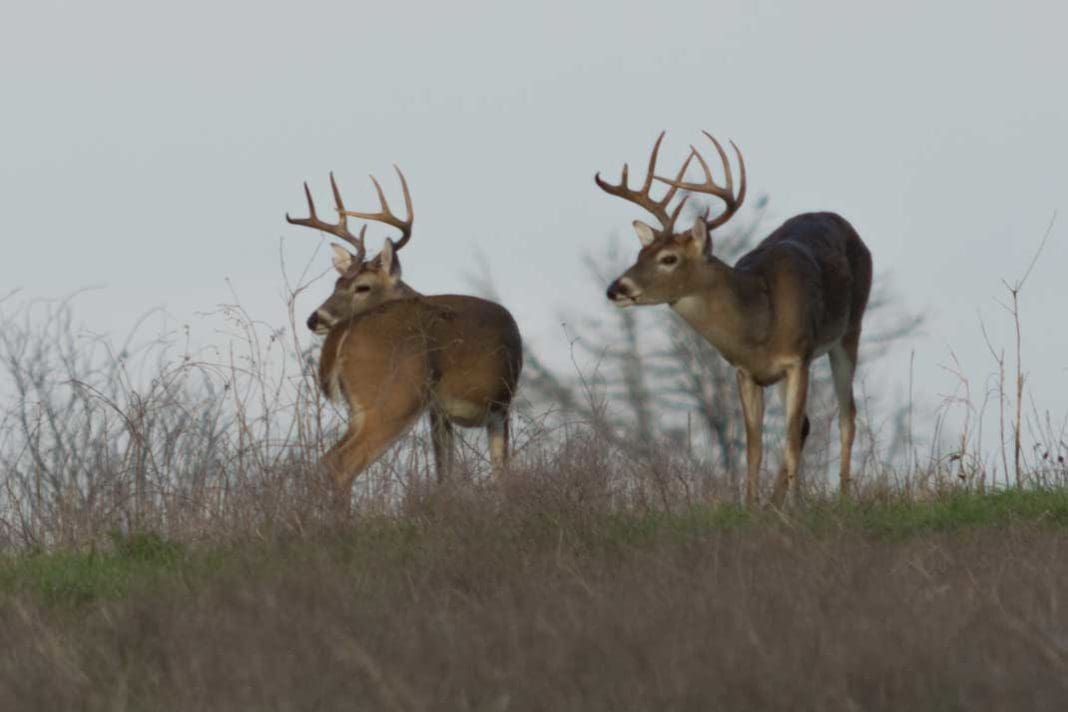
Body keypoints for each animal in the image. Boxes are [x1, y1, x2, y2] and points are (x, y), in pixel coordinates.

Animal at [286, 168, 523, 506]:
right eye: (336, 283)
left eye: (360, 286)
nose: (314, 318)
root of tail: (344, 333)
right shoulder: (500, 403)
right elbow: (500, 472)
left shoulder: (440, 412)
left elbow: (445, 473)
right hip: (398, 396)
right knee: (342, 462)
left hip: (363, 407)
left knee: (327, 459)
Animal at [597, 131, 872, 507]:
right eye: (641, 253)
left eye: (669, 258)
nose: (616, 288)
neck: (759, 324)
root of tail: (843, 222)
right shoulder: (746, 372)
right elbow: (754, 447)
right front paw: (752, 506)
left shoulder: (797, 359)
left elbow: (788, 439)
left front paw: (796, 506)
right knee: (807, 424)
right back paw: (775, 502)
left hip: (850, 329)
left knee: (847, 416)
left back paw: (843, 496)